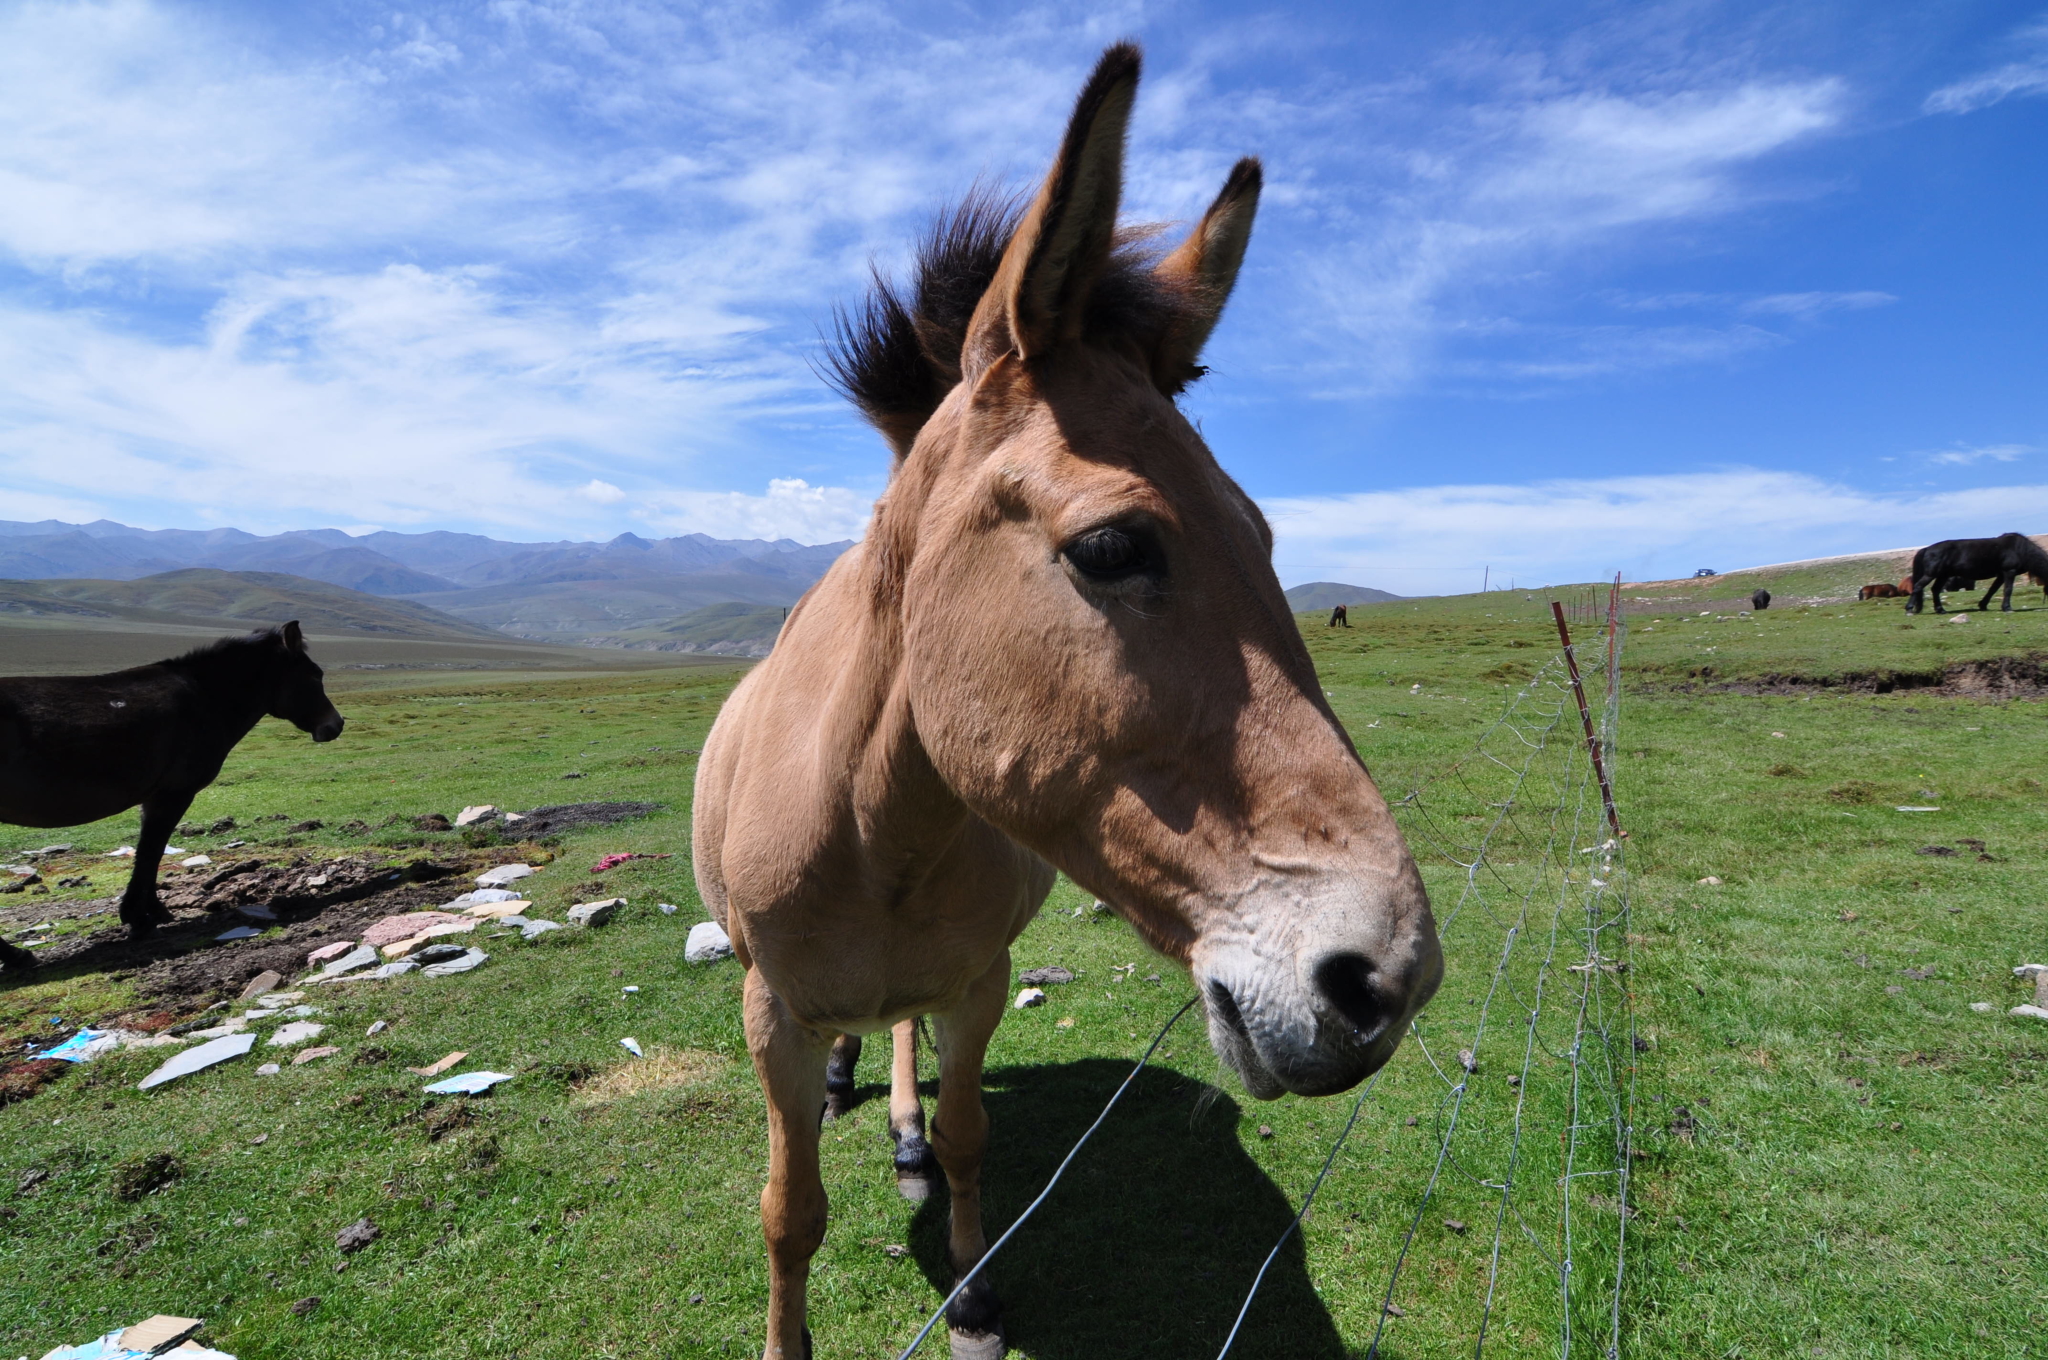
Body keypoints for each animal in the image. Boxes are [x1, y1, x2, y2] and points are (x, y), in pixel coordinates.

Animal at [0, 622, 344, 962]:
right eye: (315, 675)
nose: (336, 724)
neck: (206, 698)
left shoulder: (155, 797)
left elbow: (148, 851)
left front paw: (149, 912)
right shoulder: (173, 793)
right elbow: (152, 850)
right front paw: (140, 917)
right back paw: (17, 956)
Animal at [692, 45, 1441, 1360]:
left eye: (1264, 536)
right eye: (1109, 546)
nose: (1384, 977)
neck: (873, 824)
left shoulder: (979, 981)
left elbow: (967, 1138)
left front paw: (973, 1289)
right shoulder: (769, 1013)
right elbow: (790, 1210)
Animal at [1900, 532, 2048, 614]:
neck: (2020, 549)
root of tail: (1926, 549)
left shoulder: (2001, 575)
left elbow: (1992, 590)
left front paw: (1983, 605)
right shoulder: (2009, 572)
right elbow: (2008, 590)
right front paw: (2007, 608)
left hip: (1943, 576)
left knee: (1935, 590)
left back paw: (1941, 610)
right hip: (1931, 574)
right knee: (1918, 587)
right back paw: (1909, 609)